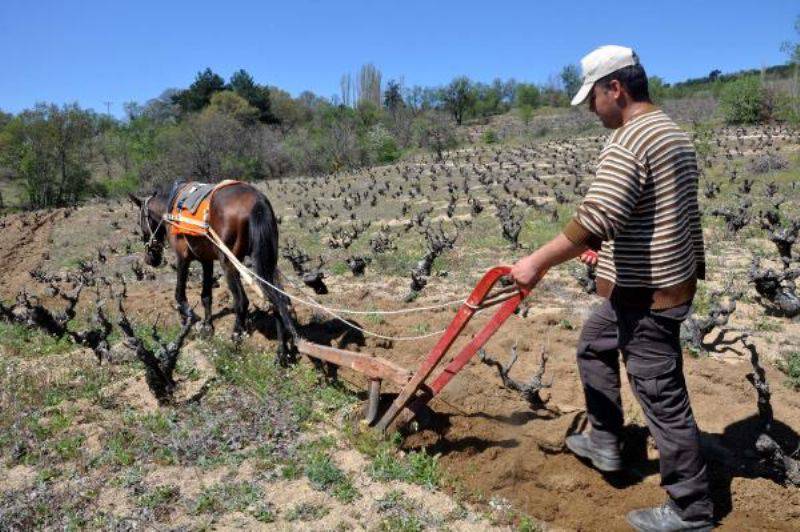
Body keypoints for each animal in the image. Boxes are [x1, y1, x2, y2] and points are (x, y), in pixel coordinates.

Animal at [128, 181, 296, 364]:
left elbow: (180, 294)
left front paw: (189, 318)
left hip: (228, 262)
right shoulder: (206, 260)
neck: (170, 208)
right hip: (266, 260)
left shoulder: (182, 258)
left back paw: (235, 339)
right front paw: (208, 326)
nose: (151, 259)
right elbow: (206, 296)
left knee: (242, 301)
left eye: (140, 221)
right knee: (278, 298)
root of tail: (257, 201)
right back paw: (281, 352)